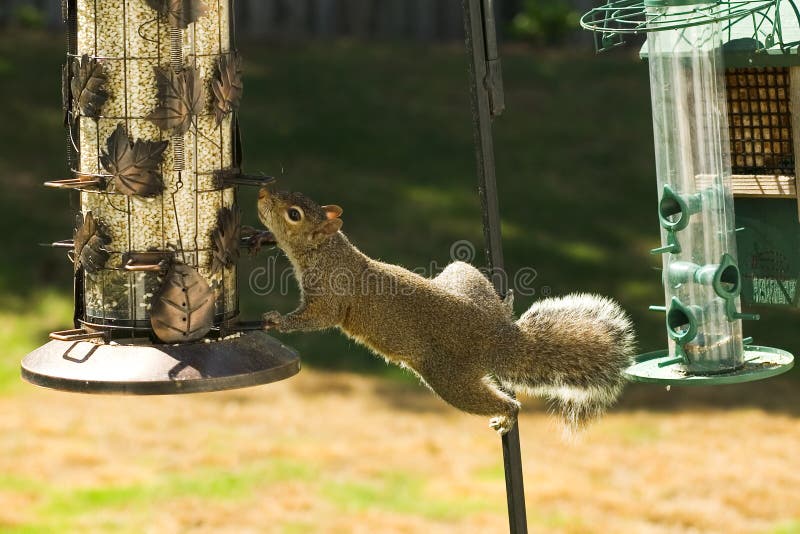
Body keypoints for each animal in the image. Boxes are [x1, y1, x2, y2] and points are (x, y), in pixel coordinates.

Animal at [260, 188, 636, 436]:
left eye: (293, 214)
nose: (263, 192)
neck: (328, 250)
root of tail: (500, 338)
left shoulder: (330, 294)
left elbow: (318, 318)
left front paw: (278, 320)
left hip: (448, 379)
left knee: (501, 402)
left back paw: (507, 415)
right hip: (464, 276)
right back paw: (505, 305)